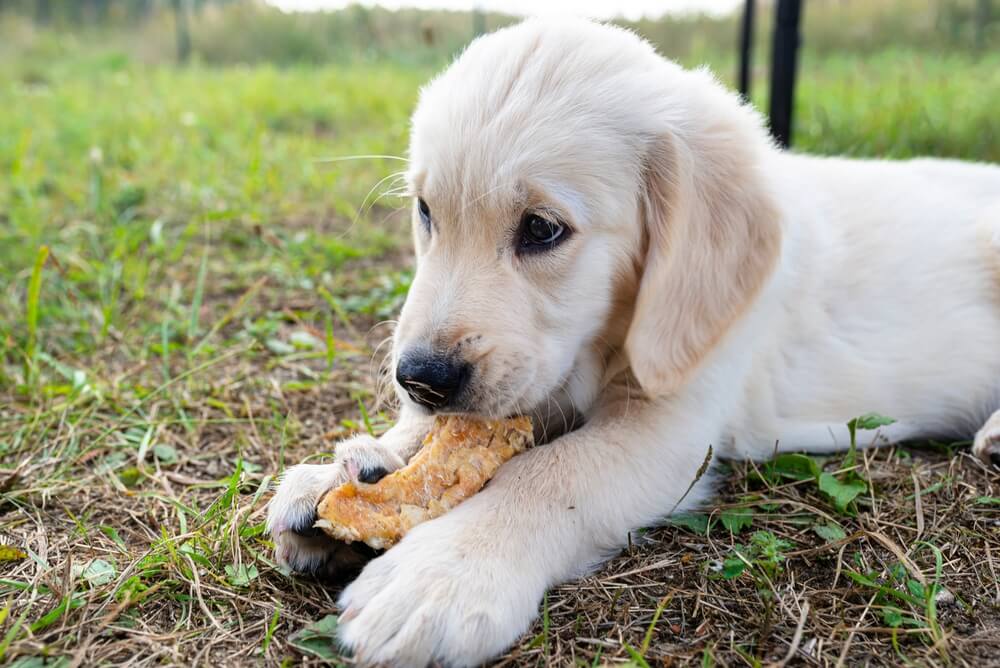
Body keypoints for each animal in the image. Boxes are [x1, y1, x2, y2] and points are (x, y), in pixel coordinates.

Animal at [266, 18, 1000, 664]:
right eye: (425, 212)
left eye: (542, 229)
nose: (418, 378)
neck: (611, 338)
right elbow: (445, 436)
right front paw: (356, 467)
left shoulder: (672, 425)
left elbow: (550, 473)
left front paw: (444, 572)